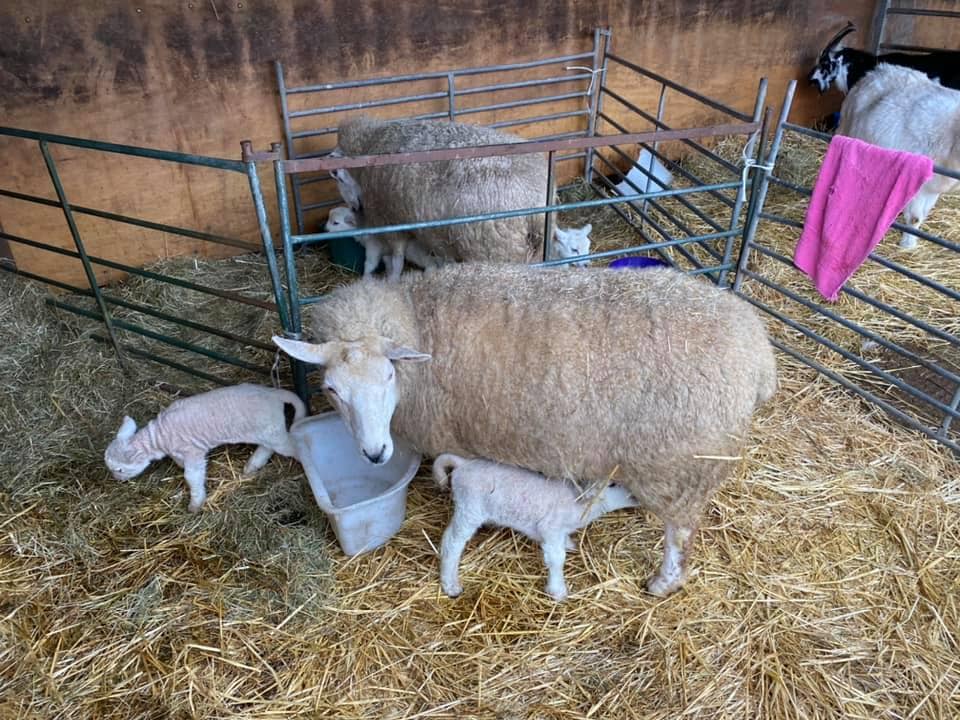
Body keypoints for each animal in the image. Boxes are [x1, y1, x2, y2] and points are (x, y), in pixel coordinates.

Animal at [102, 382, 304, 512]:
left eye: (119, 469)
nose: (116, 480)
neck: (160, 435)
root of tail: (274, 394)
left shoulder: (193, 452)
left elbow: (192, 476)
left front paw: (195, 504)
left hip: (271, 430)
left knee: (288, 446)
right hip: (268, 429)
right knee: (267, 447)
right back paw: (252, 465)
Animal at [434, 456, 636, 600]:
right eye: (612, 484)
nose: (636, 496)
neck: (580, 504)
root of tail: (463, 464)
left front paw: (569, 544)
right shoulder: (551, 527)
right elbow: (557, 558)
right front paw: (557, 590)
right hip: (470, 508)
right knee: (452, 542)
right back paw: (450, 584)